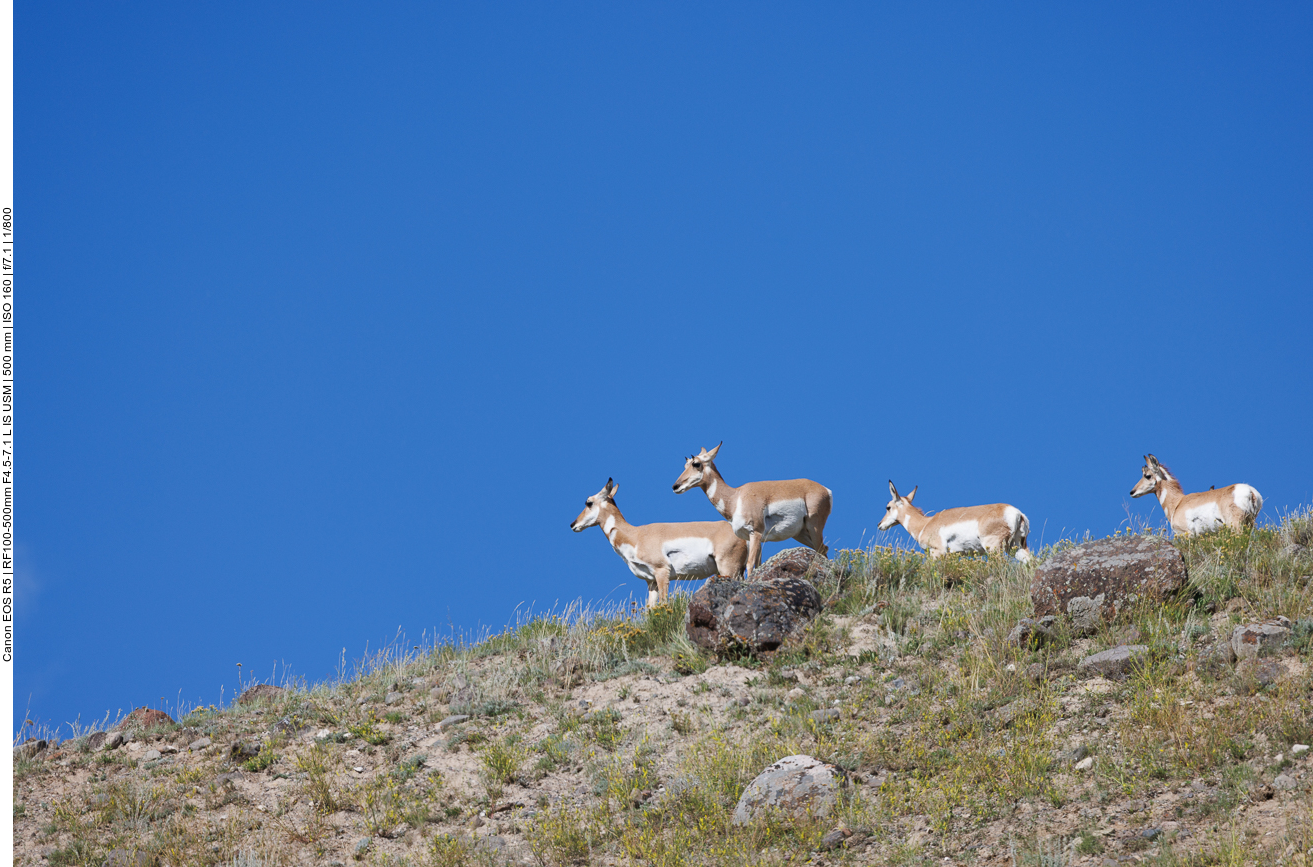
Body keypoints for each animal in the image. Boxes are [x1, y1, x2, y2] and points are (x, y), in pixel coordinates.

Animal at [567, 478, 751, 606]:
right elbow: (651, 609)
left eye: (589, 502)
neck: (636, 535)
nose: (573, 524)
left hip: (728, 568)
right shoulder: (651, 582)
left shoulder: (662, 571)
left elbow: (664, 603)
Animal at [667, 441, 829, 575]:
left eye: (696, 464)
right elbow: (756, 565)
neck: (736, 496)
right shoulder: (751, 538)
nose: (675, 486)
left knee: (822, 550)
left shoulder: (755, 533)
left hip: (814, 526)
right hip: (800, 533)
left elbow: (750, 564)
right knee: (823, 550)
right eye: (685, 465)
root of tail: (825, 489)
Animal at [877, 480, 1029, 562]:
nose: (879, 524)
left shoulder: (937, 552)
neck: (925, 523)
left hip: (993, 547)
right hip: (1017, 547)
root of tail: (1016, 512)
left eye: (888, 507)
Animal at [1129, 454, 1260, 535]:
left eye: (1147, 476)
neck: (1178, 502)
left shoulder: (1187, 534)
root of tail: (1251, 491)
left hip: (1236, 525)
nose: (1132, 492)